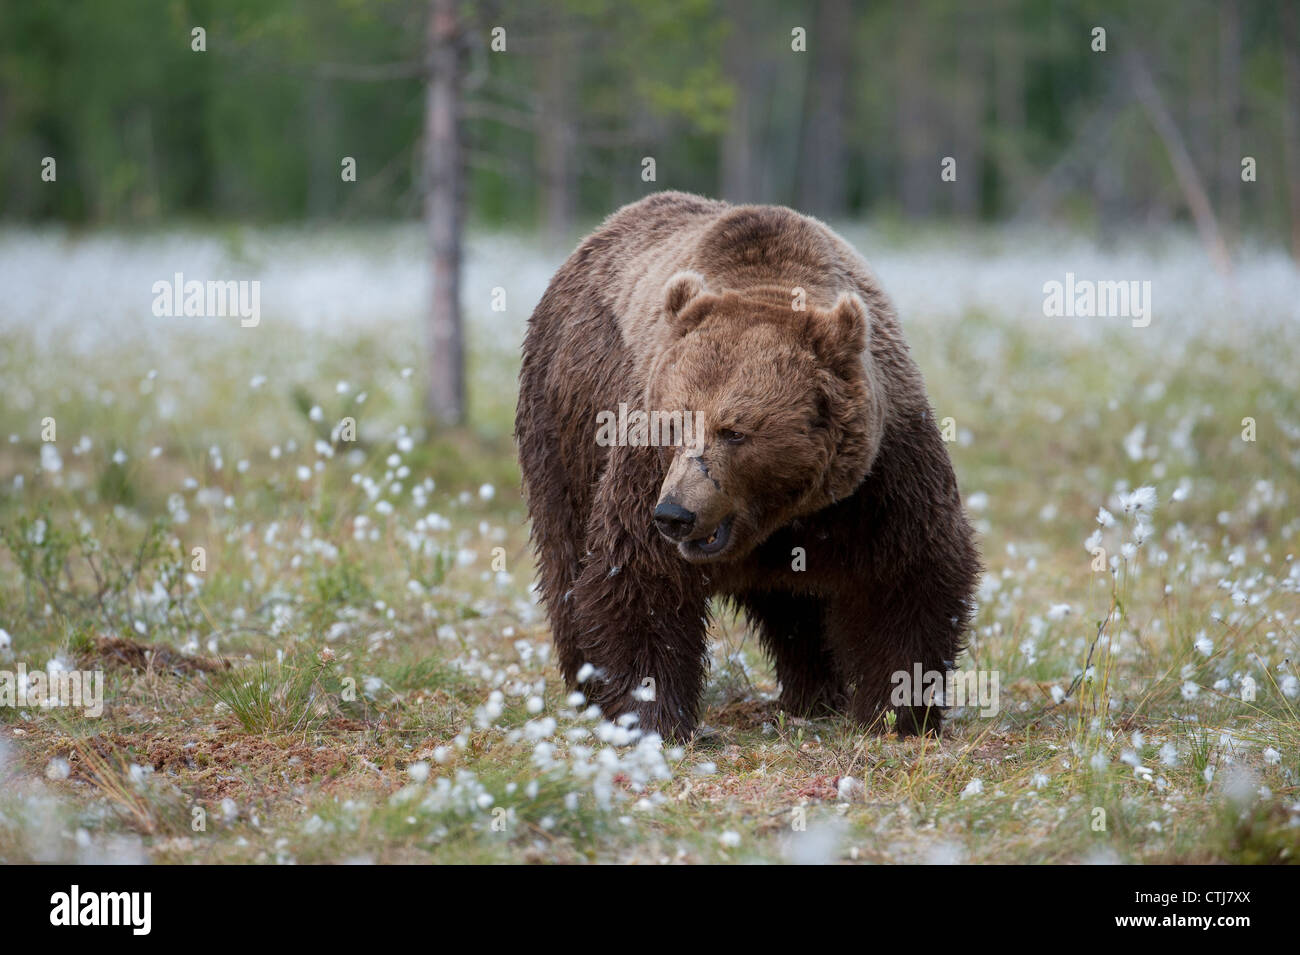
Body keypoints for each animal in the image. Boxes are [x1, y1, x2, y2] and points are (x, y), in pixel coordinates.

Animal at [512, 192, 977, 738]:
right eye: (675, 424)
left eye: (734, 431)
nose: (675, 515)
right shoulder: (644, 460)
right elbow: (639, 576)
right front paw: (652, 715)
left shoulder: (881, 474)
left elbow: (905, 576)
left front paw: (897, 713)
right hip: (565, 424)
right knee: (565, 552)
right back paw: (585, 687)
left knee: (793, 608)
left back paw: (814, 695)